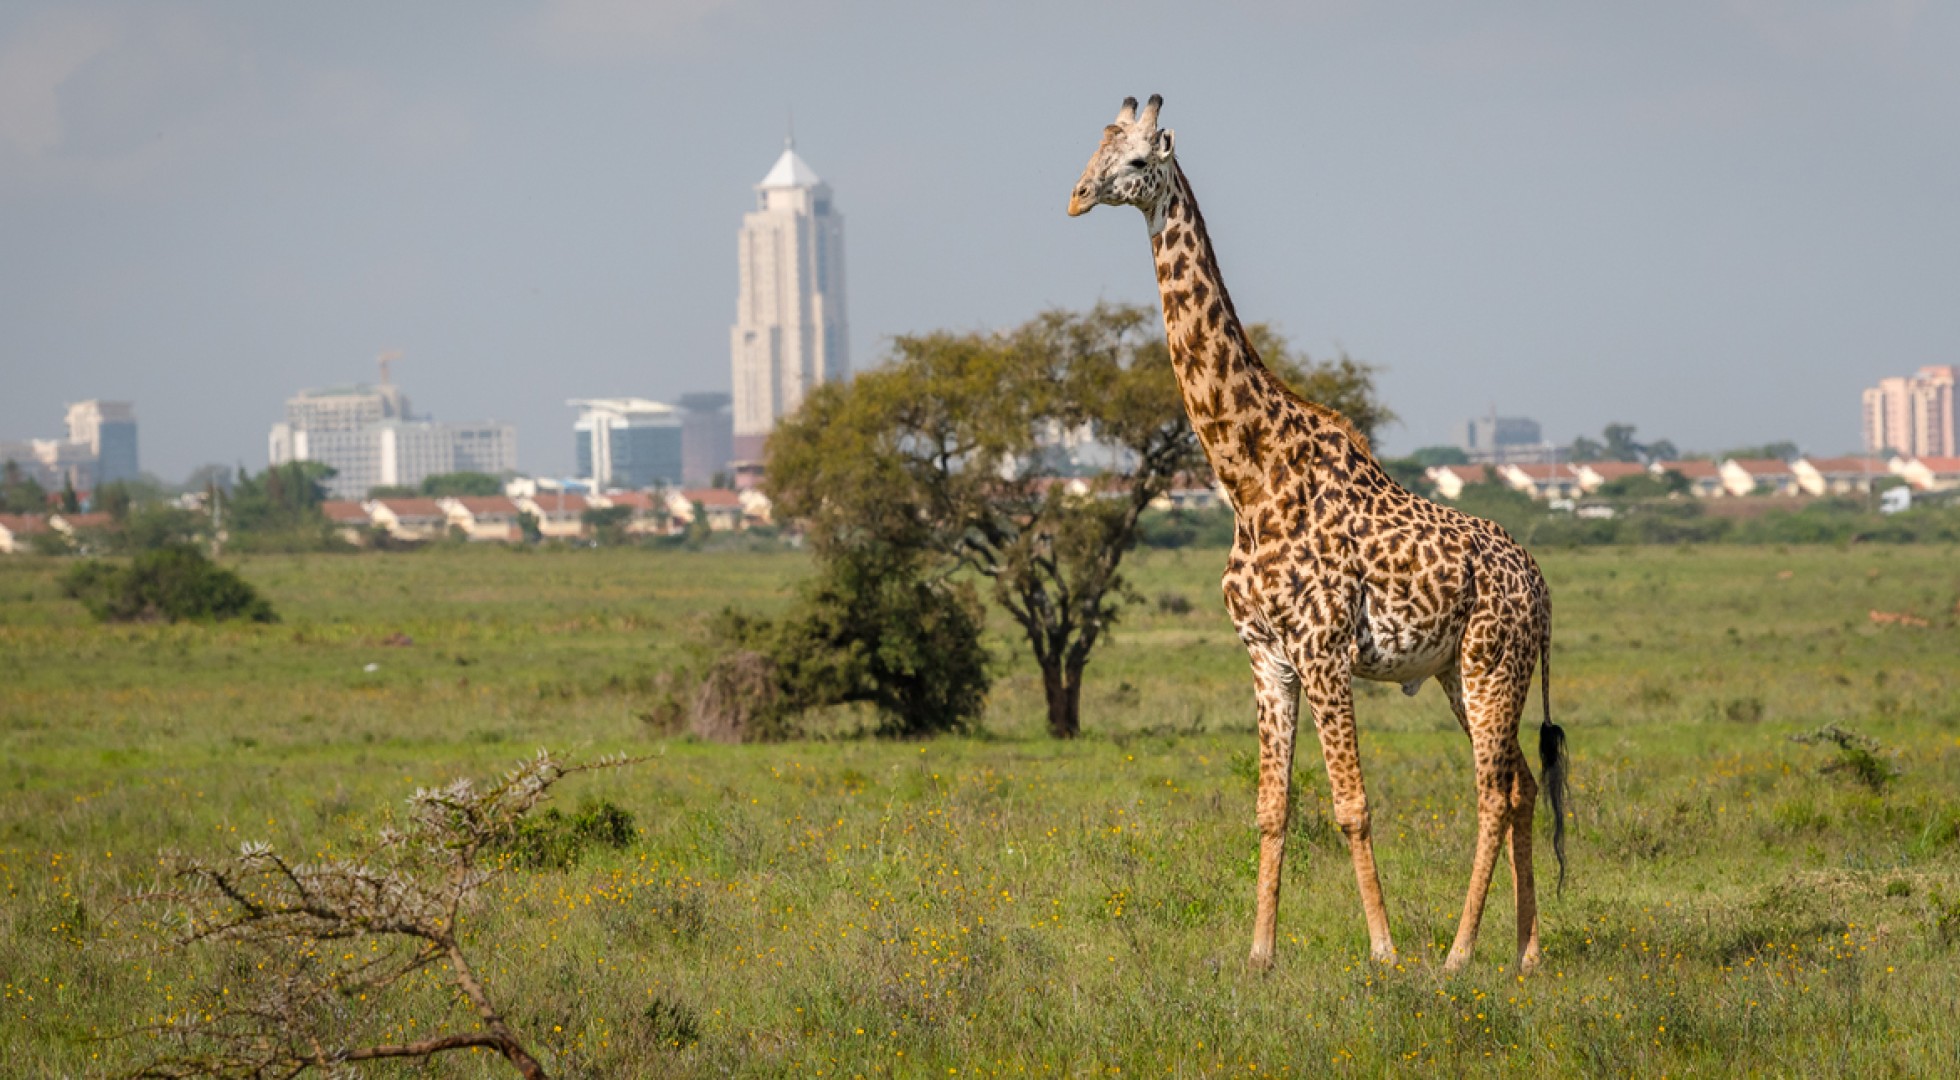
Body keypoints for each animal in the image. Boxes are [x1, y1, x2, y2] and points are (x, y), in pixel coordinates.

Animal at [1068, 95, 1569, 973]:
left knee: (1490, 792)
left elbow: (1351, 804)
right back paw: (1526, 952)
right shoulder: (1266, 655)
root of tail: (1541, 588)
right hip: (1458, 672)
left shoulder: (1324, 649)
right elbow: (1272, 807)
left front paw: (1384, 952)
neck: (1249, 476)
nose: (1076, 196)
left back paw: (1458, 954)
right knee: (1521, 787)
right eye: (1095, 150)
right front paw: (1260, 954)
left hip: (1492, 663)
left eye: (1134, 161)